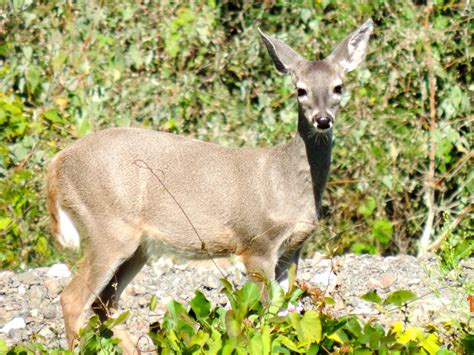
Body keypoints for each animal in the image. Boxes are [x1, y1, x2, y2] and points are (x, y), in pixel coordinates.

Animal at [47, 20, 374, 354]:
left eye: (338, 87)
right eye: (301, 90)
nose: (323, 120)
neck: (283, 181)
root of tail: (57, 162)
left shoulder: (292, 250)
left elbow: (282, 311)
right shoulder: (256, 242)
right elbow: (263, 316)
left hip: (137, 246)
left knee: (104, 303)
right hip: (108, 227)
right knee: (72, 299)